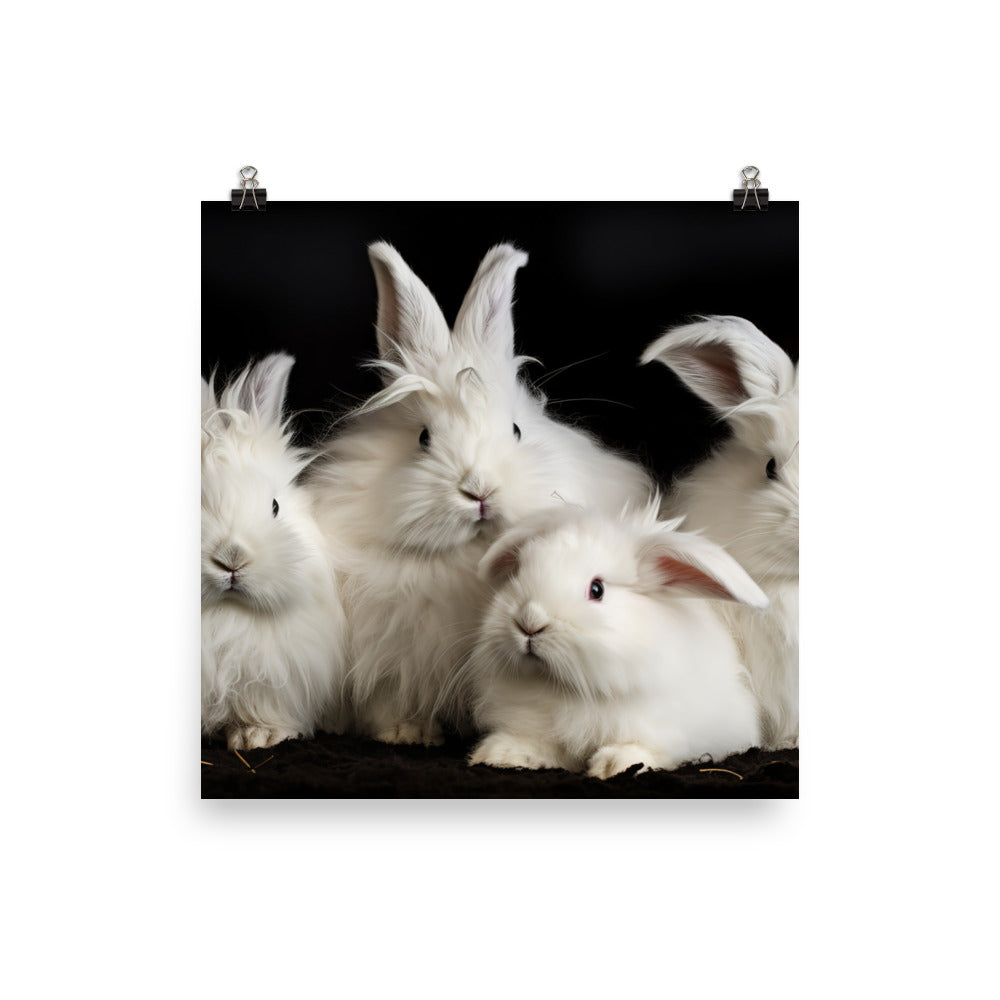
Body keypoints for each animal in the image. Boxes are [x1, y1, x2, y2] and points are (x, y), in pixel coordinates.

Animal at [308, 242, 655, 746]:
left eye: (516, 430)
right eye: (424, 438)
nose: (479, 490)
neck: (468, 557)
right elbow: (387, 698)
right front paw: (404, 731)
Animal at [466, 504, 767, 778]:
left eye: (597, 589)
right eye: (519, 572)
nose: (529, 621)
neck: (569, 688)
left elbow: (645, 747)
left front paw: (614, 765)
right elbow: (535, 742)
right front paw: (499, 755)